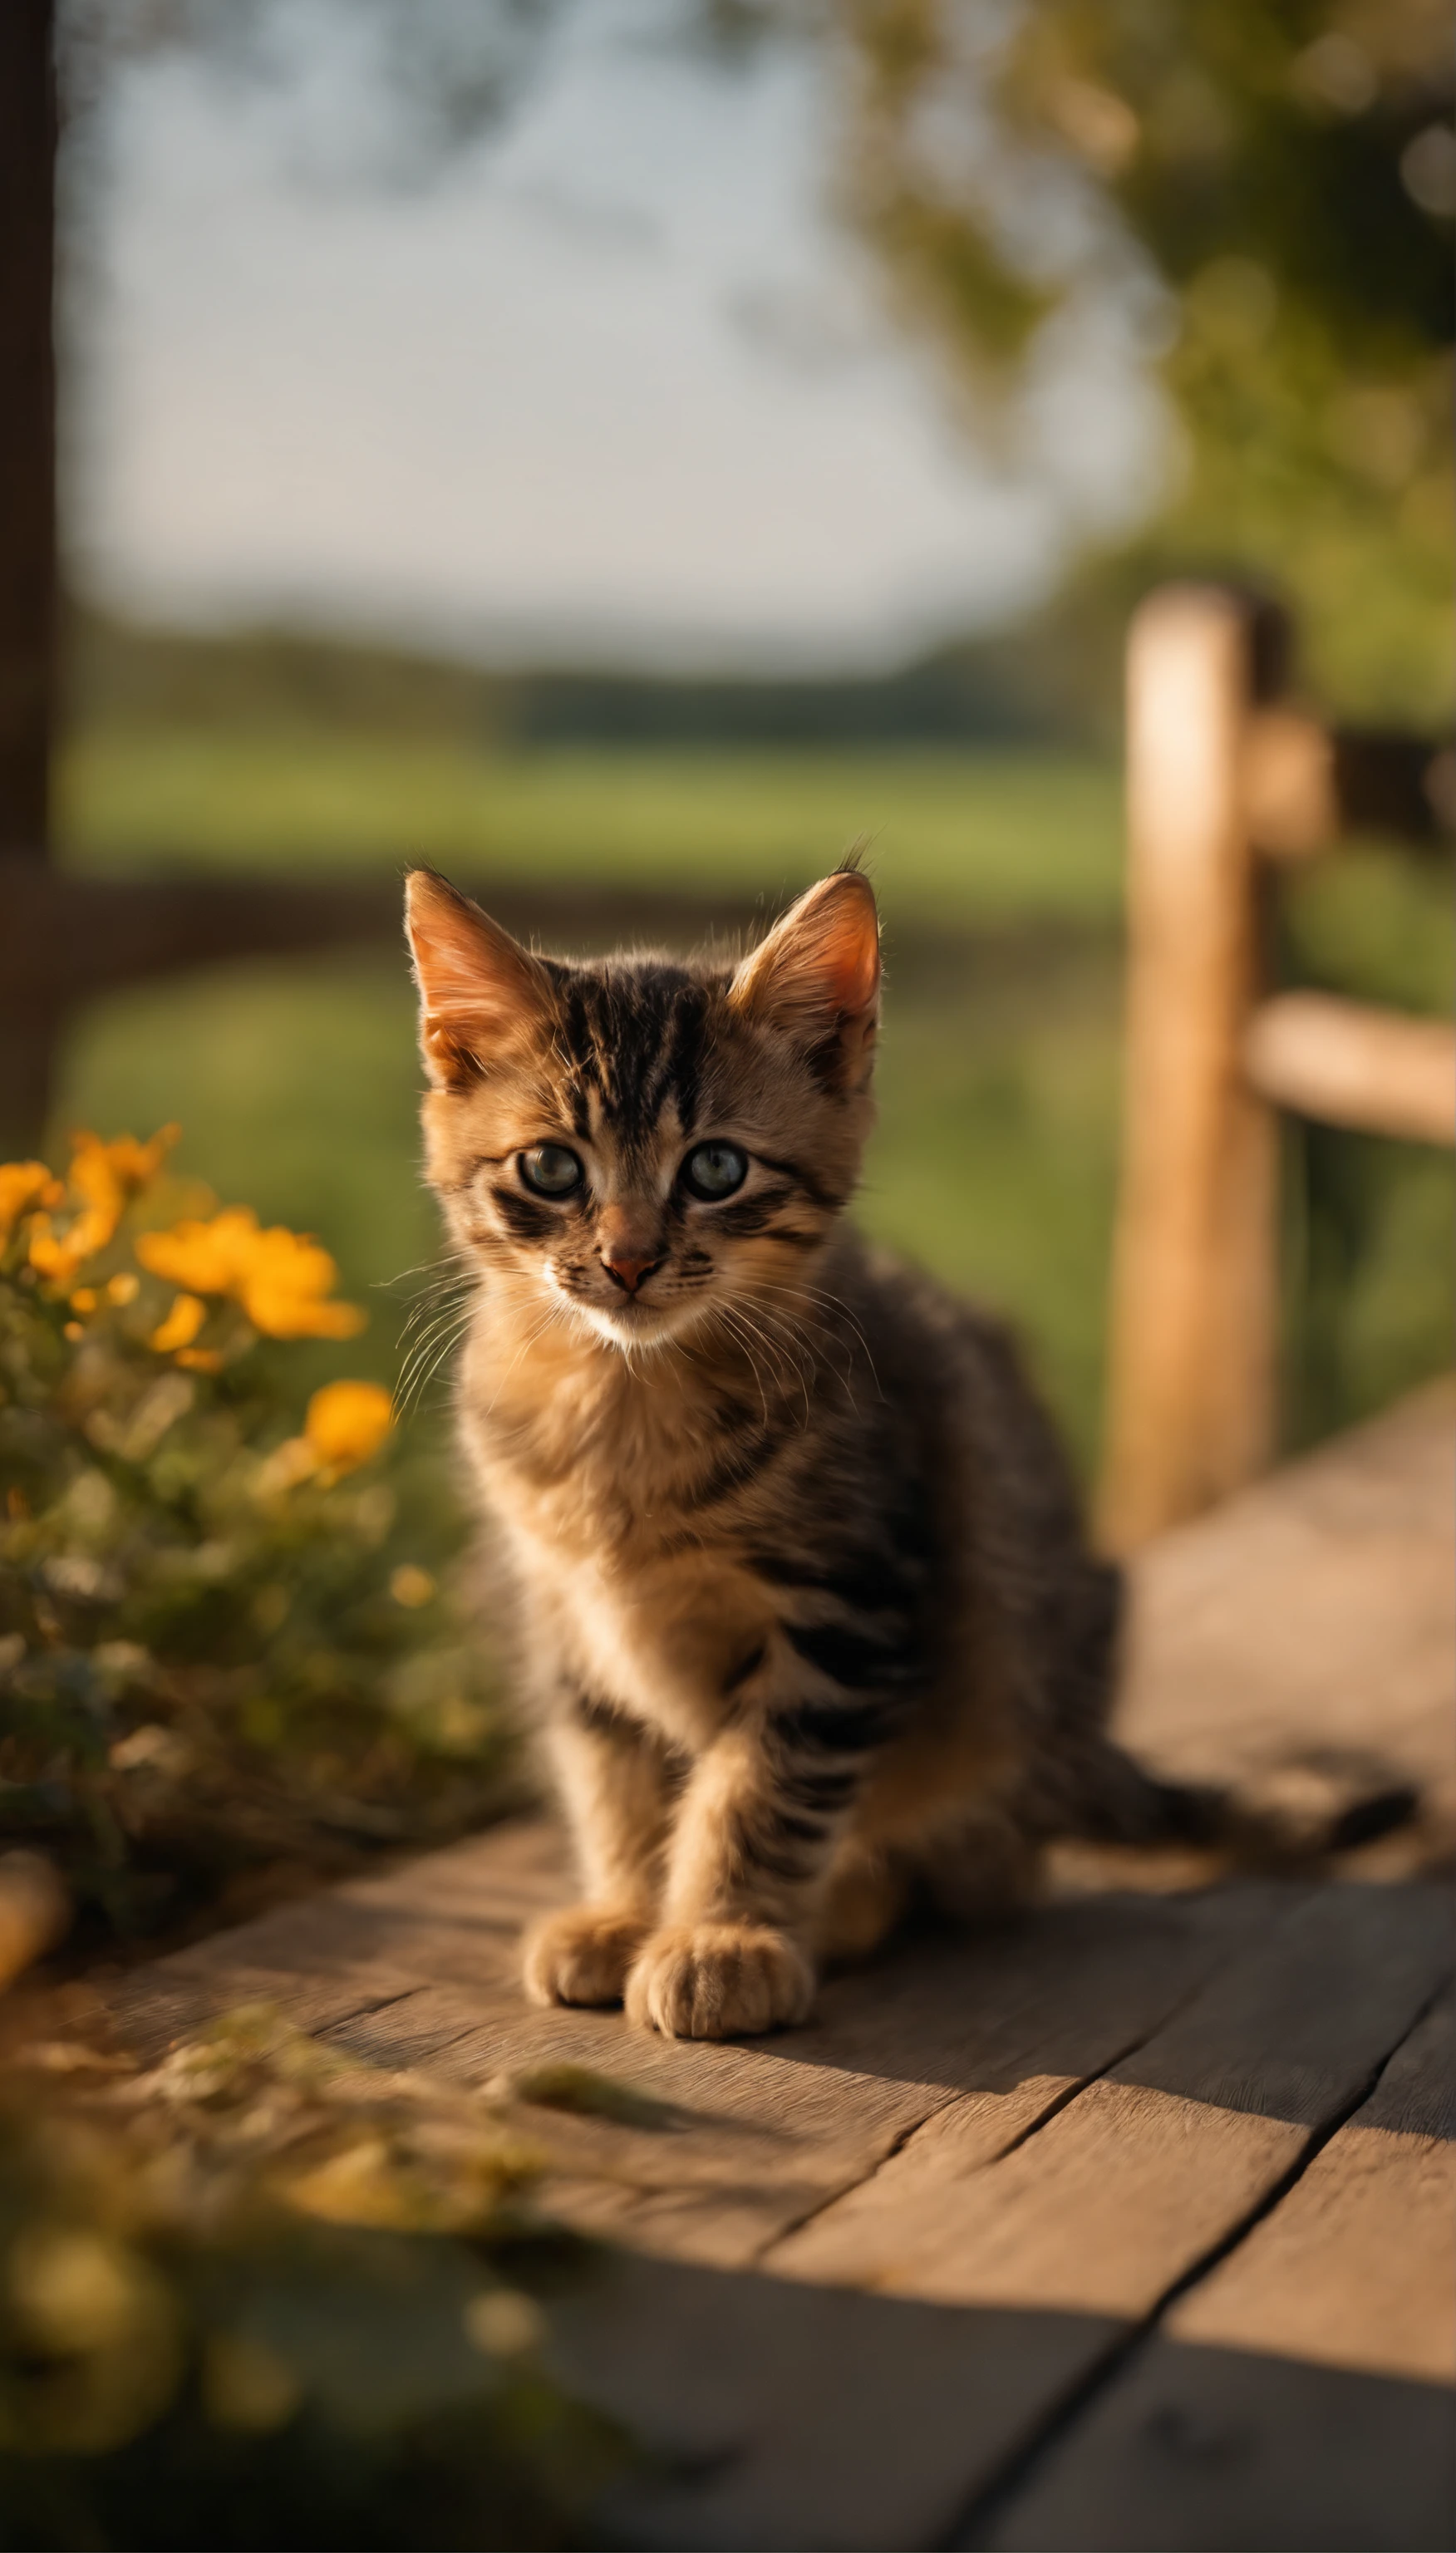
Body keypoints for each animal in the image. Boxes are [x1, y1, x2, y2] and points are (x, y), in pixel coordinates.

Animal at [406, 868, 1169, 2042]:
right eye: (552, 1167)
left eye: (716, 1168)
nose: (628, 1260)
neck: (625, 1409)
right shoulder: (567, 1611)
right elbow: (613, 1773)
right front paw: (625, 1910)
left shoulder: (850, 1605)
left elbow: (761, 1787)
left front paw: (724, 1938)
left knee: (982, 1870)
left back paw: (853, 1901)